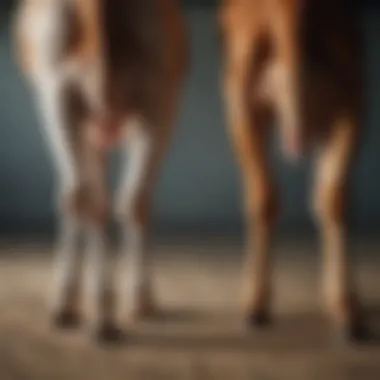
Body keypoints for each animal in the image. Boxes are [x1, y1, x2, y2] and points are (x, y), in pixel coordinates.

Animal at [12, 0, 188, 342]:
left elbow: (115, 199)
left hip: (72, 101)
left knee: (89, 196)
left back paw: (86, 308)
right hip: (70, 100)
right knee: (92, 196)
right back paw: (92, 308)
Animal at [218, 0, 366, 342]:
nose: (296, 142)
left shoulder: (351, 100)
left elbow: (333, 199)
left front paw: (347, 310)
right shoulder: (240, 102)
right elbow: (264, 199)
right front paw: (255, 305)